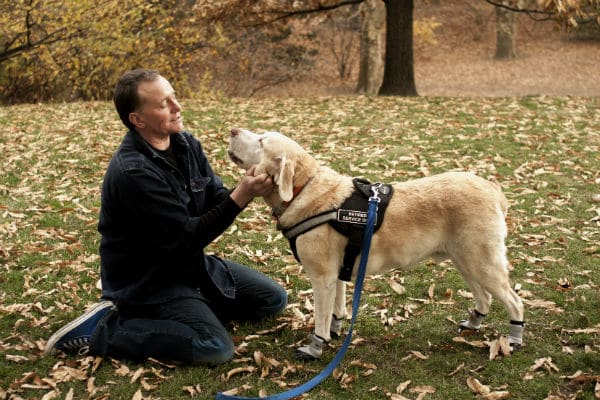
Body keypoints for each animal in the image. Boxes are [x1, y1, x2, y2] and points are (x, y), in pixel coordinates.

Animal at [230, 128, 524, 360]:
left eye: (261, 141)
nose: (232, 130)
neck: (304, 188)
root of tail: (492, 189)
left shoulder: (322, 278)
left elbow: (320, 319)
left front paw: (316, 347)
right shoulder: (337, 275)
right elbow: (337, 310)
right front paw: (336, 330)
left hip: (481, 262)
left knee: (515, 301)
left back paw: (514, 338)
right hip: (466, 260)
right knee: (485, 297)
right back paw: (474, 322)